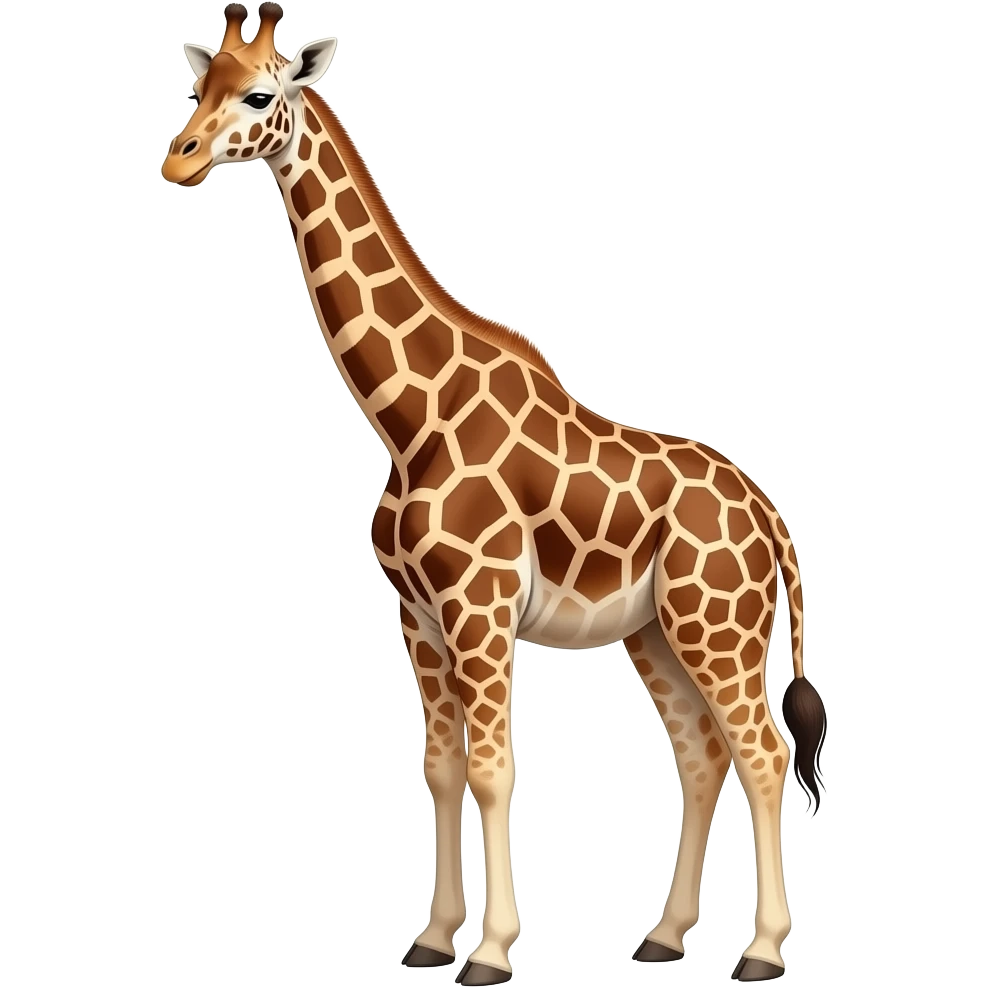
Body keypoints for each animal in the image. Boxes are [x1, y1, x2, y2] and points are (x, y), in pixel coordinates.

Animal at [162, 5, 828, 984]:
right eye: (197, 85)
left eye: (257, 94)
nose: (180, 158)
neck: (409, 421)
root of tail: (773, 520)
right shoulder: (417, 615)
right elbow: (439, 766)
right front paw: (434, 937)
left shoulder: (478, 609)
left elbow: (491, 768)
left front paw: (491, 950)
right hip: (657, 632)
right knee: (703, 755)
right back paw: (665, 937)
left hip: (719, 625)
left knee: (765, 750)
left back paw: (765, 950)